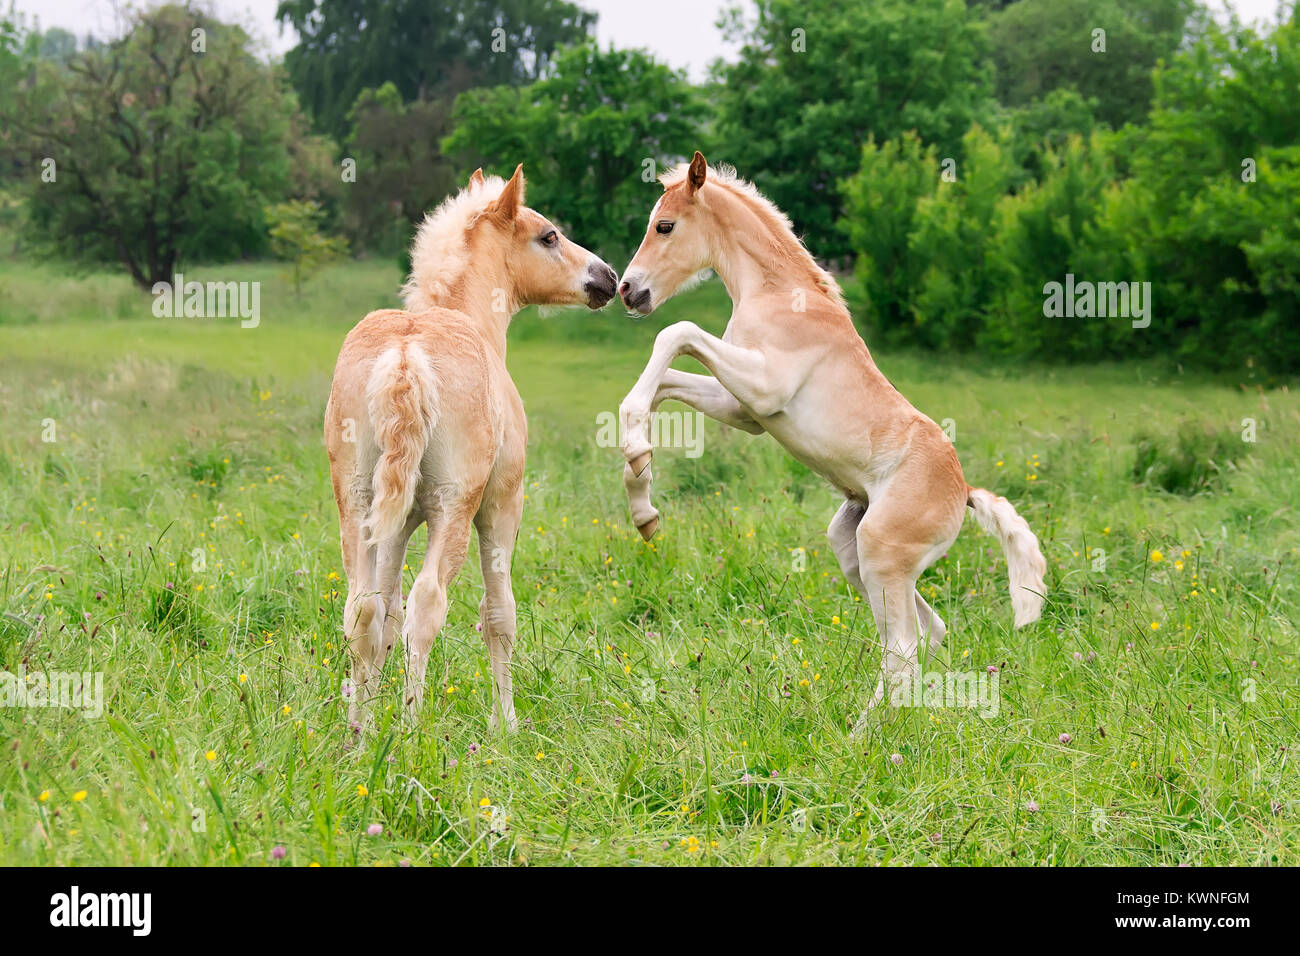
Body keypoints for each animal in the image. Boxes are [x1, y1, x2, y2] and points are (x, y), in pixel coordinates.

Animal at [327, 166, 616, 733]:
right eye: (549, 236)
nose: (608, 277)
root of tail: (405, 356)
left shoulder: (397, 524)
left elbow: (384, 616)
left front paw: (370, 708)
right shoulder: (502, 506)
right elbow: (498, 614)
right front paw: (507, 725)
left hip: (358, 504)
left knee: (362, 608)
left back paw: (359, 734)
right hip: (454, 508)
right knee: (428, 603)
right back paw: (411, 730)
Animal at [613, 151, 1050, 733]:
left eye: (664, 226)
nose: (628, 290)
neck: (779, 295)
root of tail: (964, 493)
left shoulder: (763, 387)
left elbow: (675, 334)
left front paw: (639, 470)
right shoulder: (745, 409)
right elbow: (663, 383)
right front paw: (642, 498)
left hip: (882, 553)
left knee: (903, 649)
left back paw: (861, 735)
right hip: (856, 550)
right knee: (926, 633)